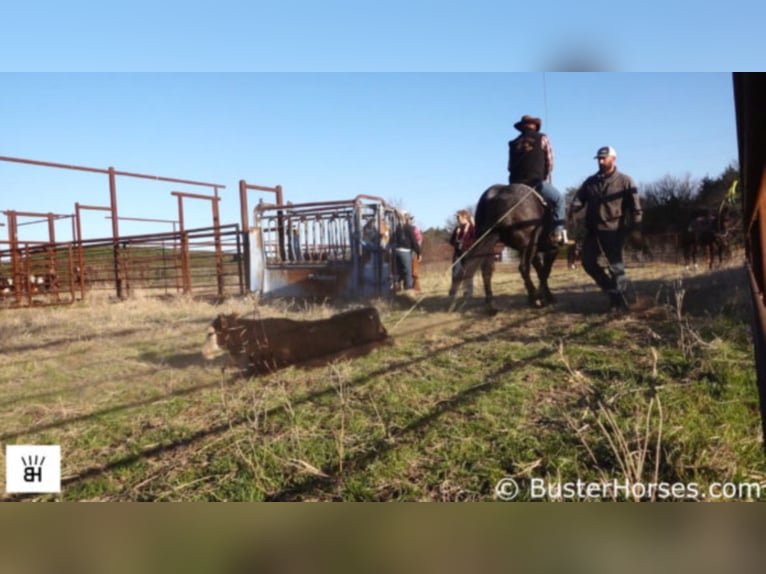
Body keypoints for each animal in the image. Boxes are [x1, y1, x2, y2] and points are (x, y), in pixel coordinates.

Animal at [452, 183, 560, 316]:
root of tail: (494, 196)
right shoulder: (548, 249)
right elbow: (545, 271)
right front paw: (544, 297)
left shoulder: (534, 251)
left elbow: (540, 271)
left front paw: (545, 296)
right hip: (527, 245)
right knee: (523, 267)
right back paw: (534, 298)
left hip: (491, 244)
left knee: (486, 271)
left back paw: (491, 306)